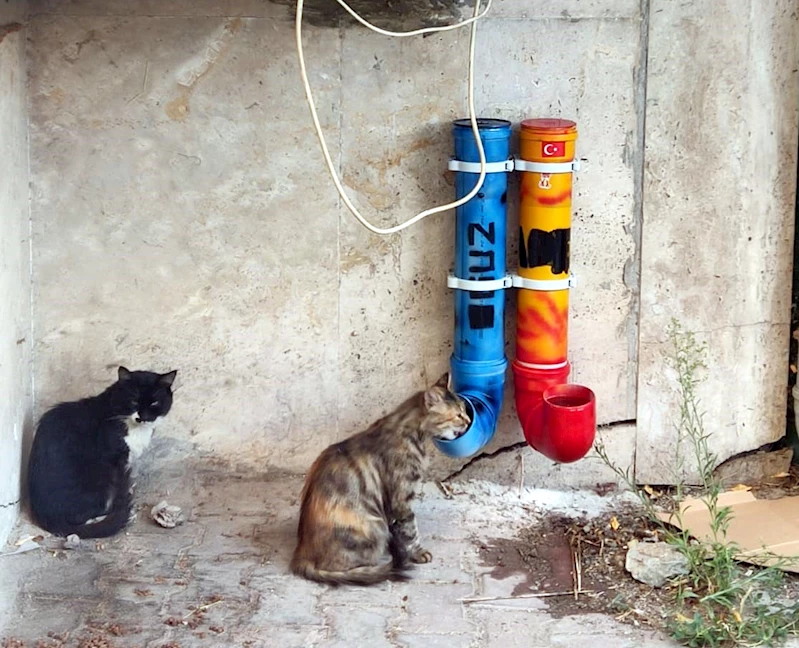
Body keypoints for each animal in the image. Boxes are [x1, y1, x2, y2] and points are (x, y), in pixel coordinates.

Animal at [29, 368, 178, 540]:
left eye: (155, 402)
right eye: (134, 401)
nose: (144, 417)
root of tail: (48, 518)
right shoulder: (117, 457)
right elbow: (121, 484)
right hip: (100, 477)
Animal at [290, 372, 472, 584]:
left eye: (464, 410)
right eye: (458, 415)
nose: (469, 421)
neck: (412, 433)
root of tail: (301, 554)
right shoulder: (401, 498)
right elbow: (411, 529)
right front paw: (417, 552)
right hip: (375, 526)